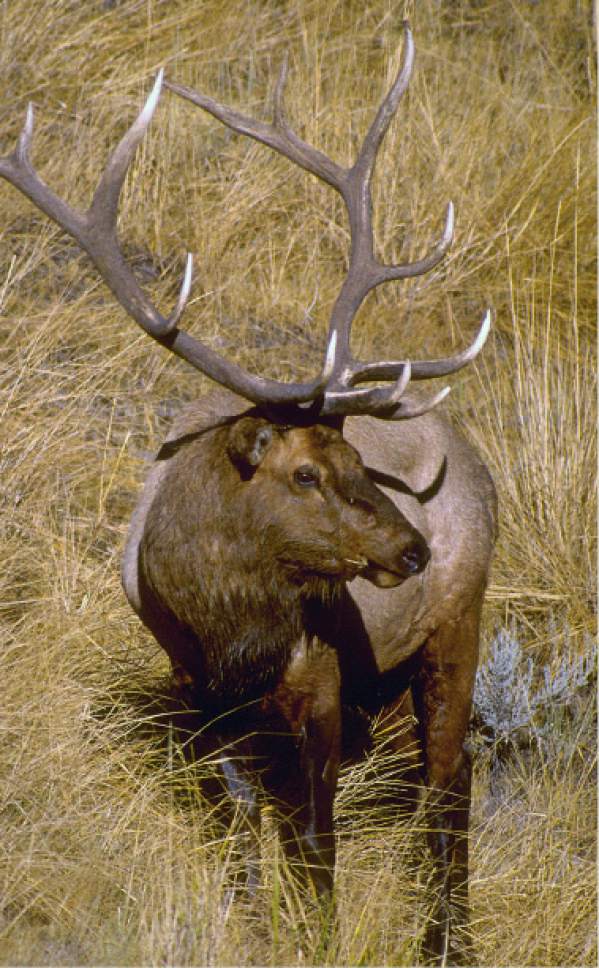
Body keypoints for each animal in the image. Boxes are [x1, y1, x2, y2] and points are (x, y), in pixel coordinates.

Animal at [0, 23, 497, 965]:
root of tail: (473, 460)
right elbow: (237, 826)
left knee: (449, 778)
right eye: (304, 472)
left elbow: (313, 836)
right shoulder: (192, 683)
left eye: (353, 456)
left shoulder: (321, 668)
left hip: (460, 615)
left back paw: (445, 940)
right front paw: (255, 929)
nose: (409, 547)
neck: (224, 618)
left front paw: (323, 937)